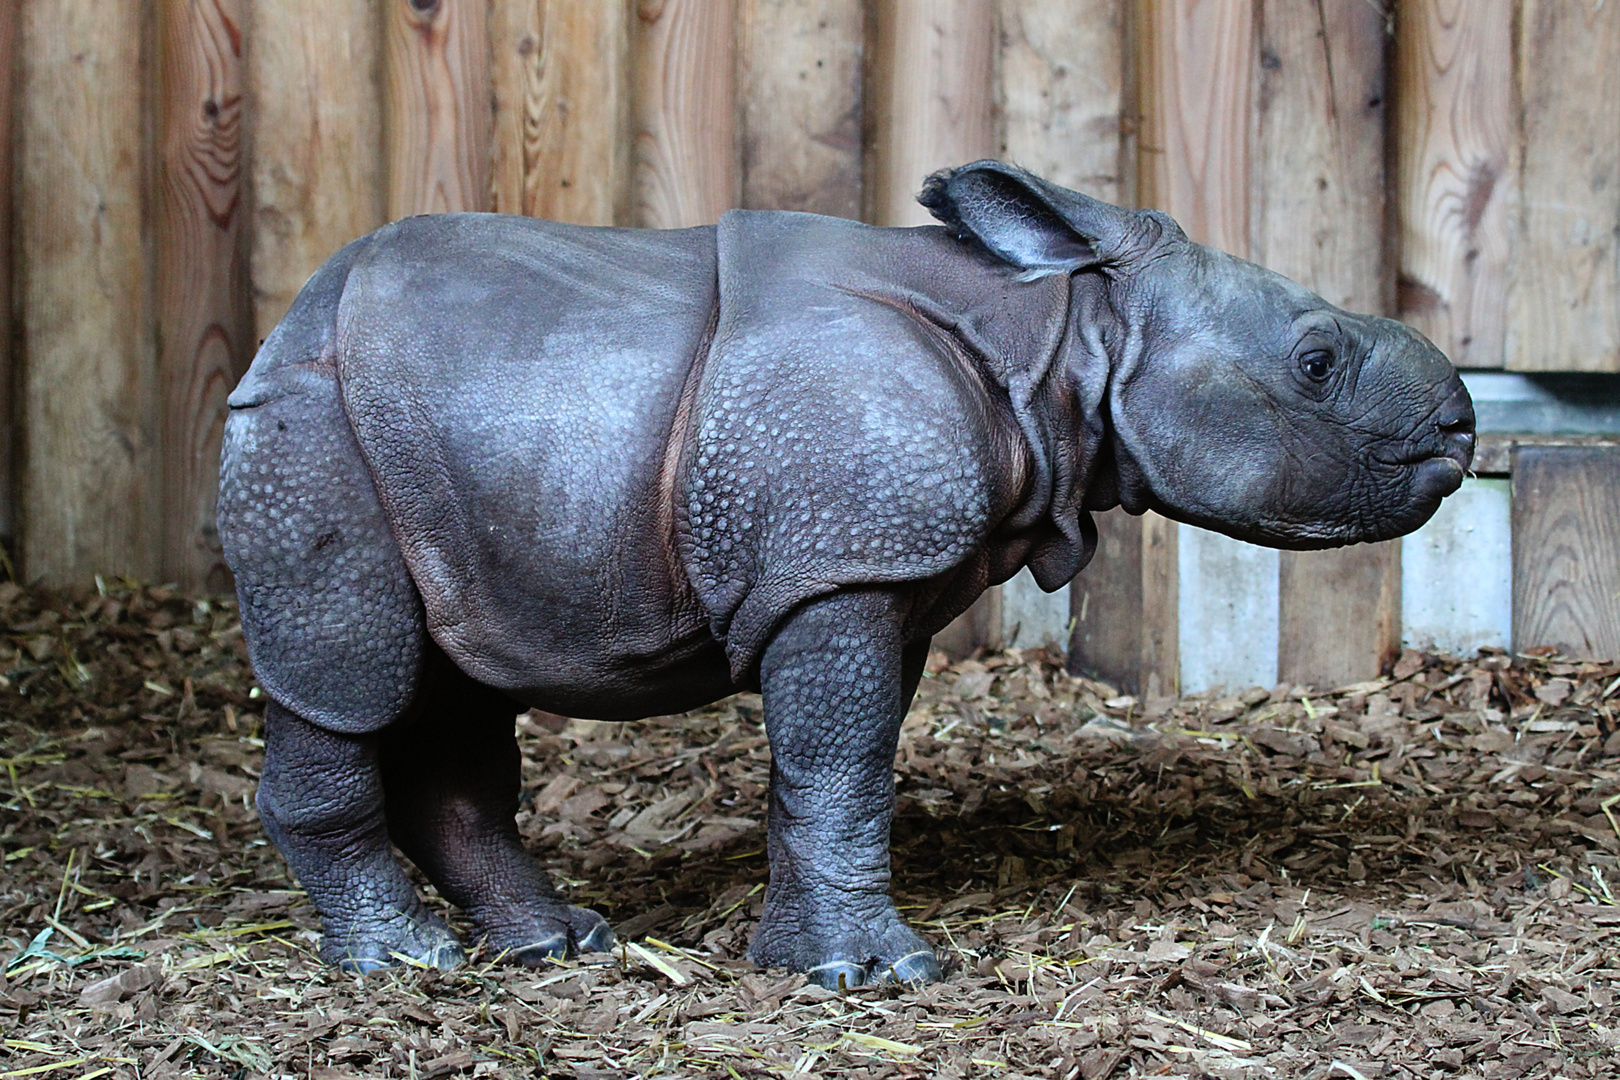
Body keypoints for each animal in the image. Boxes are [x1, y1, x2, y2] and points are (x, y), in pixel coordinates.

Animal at [221, 162, 1477, 990]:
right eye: (1316, 362)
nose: (1461, 427)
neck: (1069, 333)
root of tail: (285, 323)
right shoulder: (843, 564)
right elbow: (842, 764)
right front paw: (881, 977)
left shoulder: (867, 571)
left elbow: (831, 768)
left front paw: (807, 963)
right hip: (314, 431)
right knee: (348, 676)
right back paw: (404, 964)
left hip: (439, 445)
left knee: (457, 688)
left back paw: (557, 944)